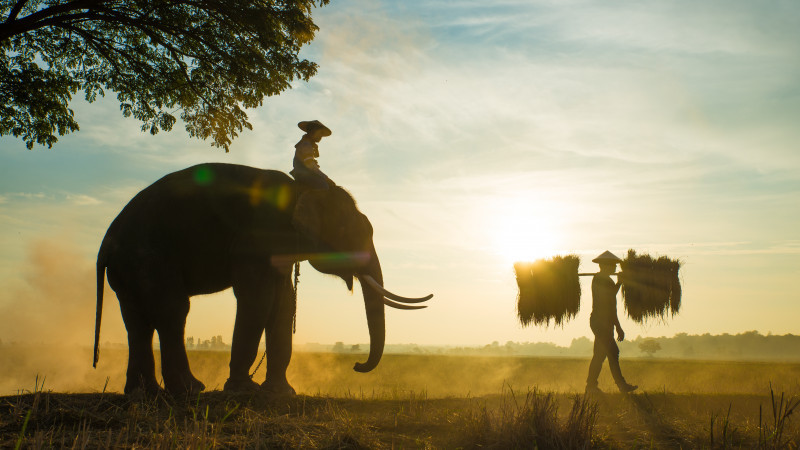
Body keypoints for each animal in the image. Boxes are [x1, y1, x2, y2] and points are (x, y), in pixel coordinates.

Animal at [93, 163, 432, 396]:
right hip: (149, 255)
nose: (357, 365)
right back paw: (189, 390)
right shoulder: (258, 236)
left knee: (137, 321)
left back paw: (144, 393)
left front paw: (281, 393)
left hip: (129, 269)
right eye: (352, 232)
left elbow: (282, 305)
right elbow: (258, 299)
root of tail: (106, 242)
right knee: (172, 312)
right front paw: (243, 390)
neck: (303, 189)